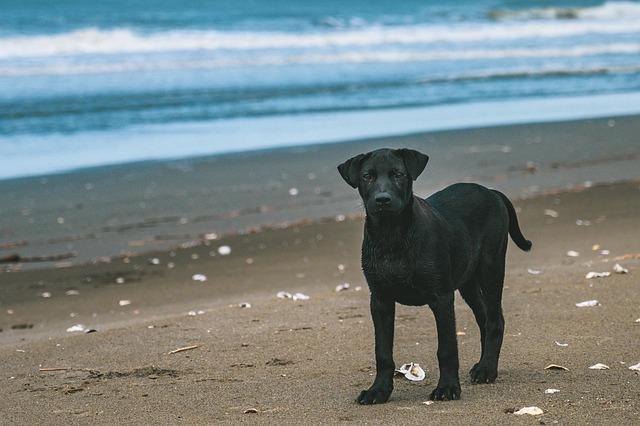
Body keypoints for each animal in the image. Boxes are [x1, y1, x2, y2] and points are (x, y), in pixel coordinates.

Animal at [338, 148, 532, 404]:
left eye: (398, 174)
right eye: (367, 176)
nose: (382, 199)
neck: (392, 236)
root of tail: (491, 191)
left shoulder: (441, 297)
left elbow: (447, 348)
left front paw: (448, 388)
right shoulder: (380, 299)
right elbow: (383, 352)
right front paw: (378, 390)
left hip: (492, 267)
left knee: (494, 320)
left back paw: (487, 370)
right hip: (467, 281)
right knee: (484, 318)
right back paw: (482, 365)